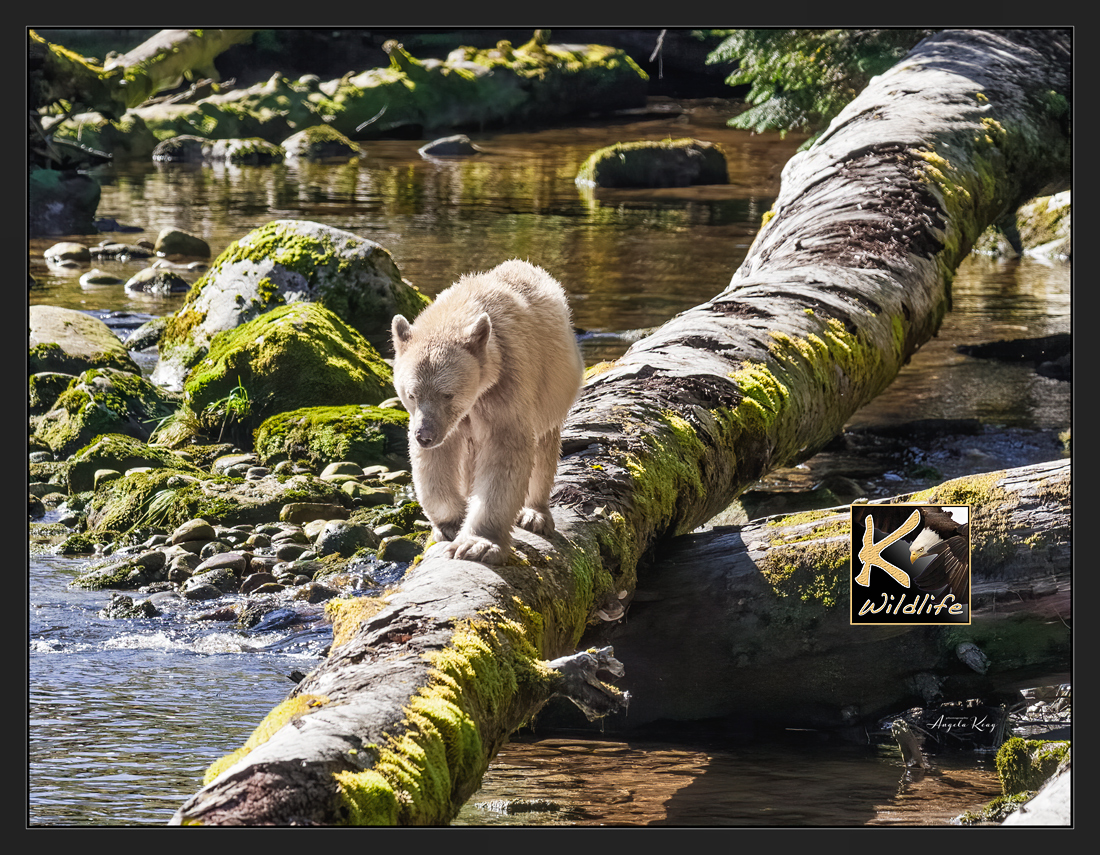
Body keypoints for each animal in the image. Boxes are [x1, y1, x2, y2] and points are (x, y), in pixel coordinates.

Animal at [390, 259, 584, 565]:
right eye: (411, 394)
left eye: (448, 394)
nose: (424, 435)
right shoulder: (447, 421)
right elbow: (435, 460)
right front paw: (450, 523)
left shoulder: (506, 386)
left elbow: (505, 450)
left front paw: (477, 544)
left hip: (554, 388)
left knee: (545, 448)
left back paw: (535, 514)